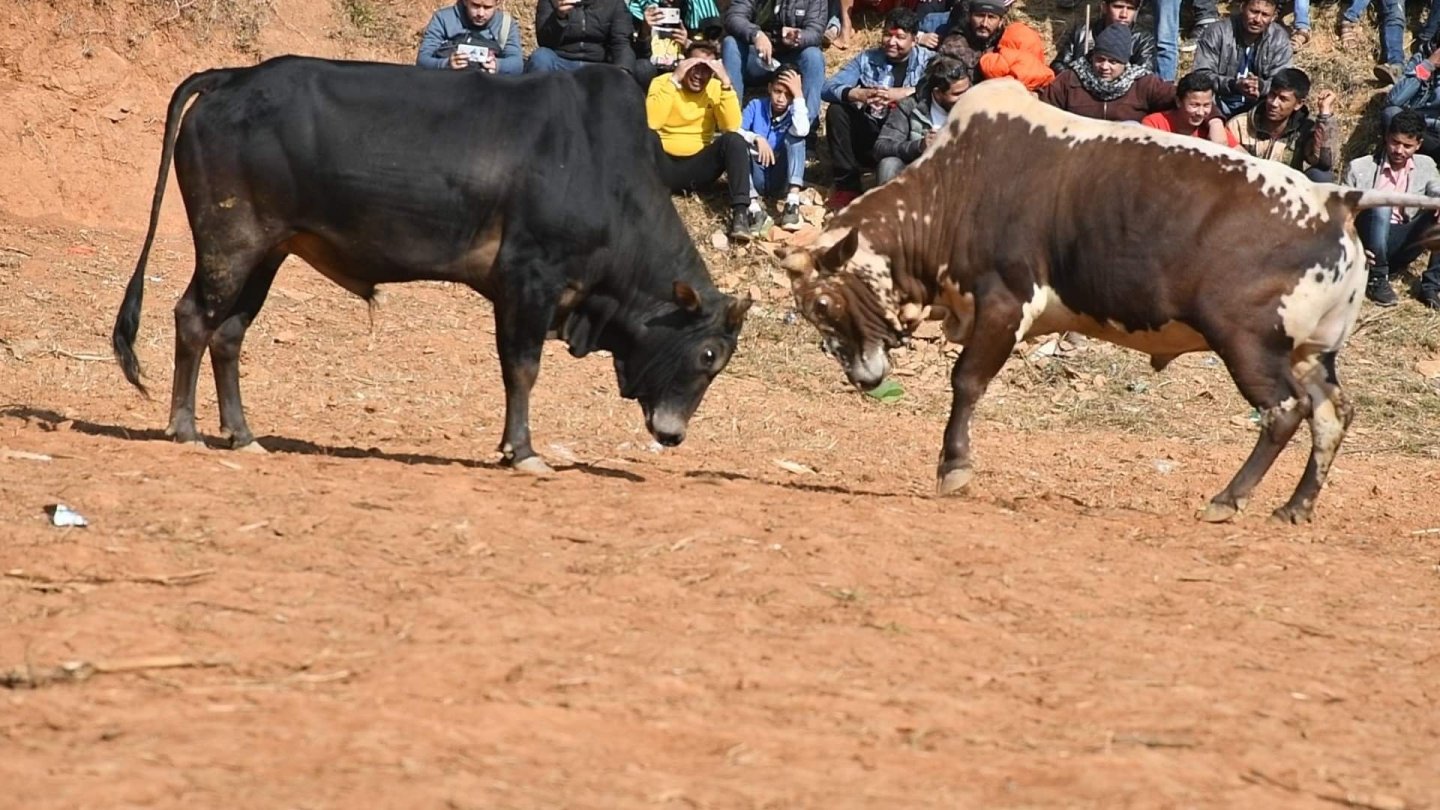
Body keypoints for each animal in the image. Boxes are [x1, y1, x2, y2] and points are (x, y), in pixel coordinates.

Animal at [109, 55, 754, 466]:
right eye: (708, 354)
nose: (673, 435)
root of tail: (233, 78)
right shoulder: (530, 279)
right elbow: (522, 369)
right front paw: (523, 452)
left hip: (267, 253)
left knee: (229, 335)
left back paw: (243, 435)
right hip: (230, 244)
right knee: (193, 319)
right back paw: (186, 429)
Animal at [789, 78, 1440, 518]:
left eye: (821, 305)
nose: (863, 378)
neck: (959, 183)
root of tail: (1336, 198)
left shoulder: (1005, 301)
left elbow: (967, 381)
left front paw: (954, 467)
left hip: (1249, 343)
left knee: (1284, 411)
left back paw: (1227, 499)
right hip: (1309, 353)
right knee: (1332, 413)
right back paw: (1294, 507)